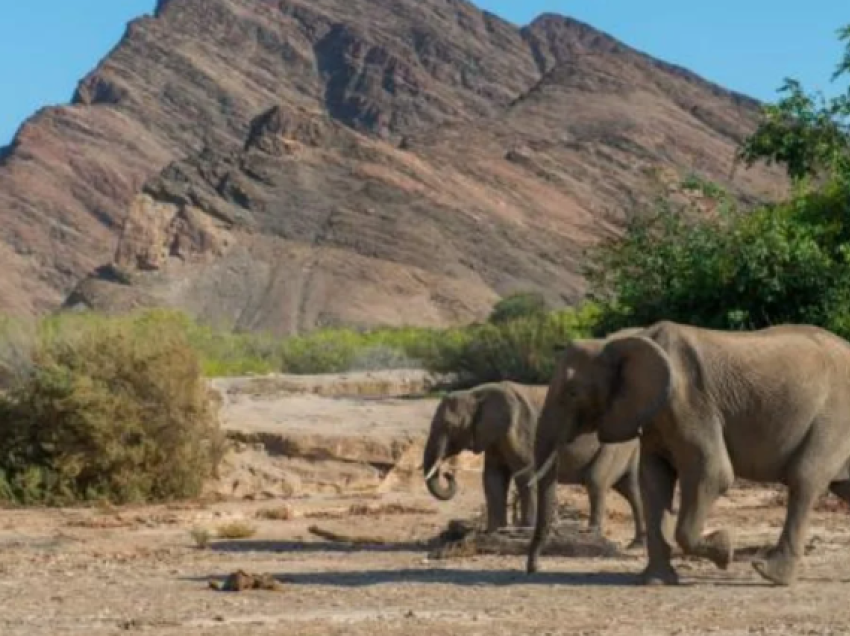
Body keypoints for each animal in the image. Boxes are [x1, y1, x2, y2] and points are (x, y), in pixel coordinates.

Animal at [418, 380, 644, 544]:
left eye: (449, 426)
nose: (448, 474)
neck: (476, 392)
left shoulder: (522, 429)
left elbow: (526, 474)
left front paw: (523, 532)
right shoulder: (494, 437)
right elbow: (493, 478)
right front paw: (494, 533)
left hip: (614, 445)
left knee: (596, 481)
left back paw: (591, 535)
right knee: (631, 488)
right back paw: (636, 544)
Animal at [528, 320, 850, 584]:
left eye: (572, 393)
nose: (534, 569)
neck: (625, 340)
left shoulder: (689, 403)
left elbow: (713, 473)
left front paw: (724, 549)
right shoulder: (655, 414)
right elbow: (653, 481)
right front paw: (655, 581)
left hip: (833, 419)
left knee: (804, 479)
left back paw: (770, 573)